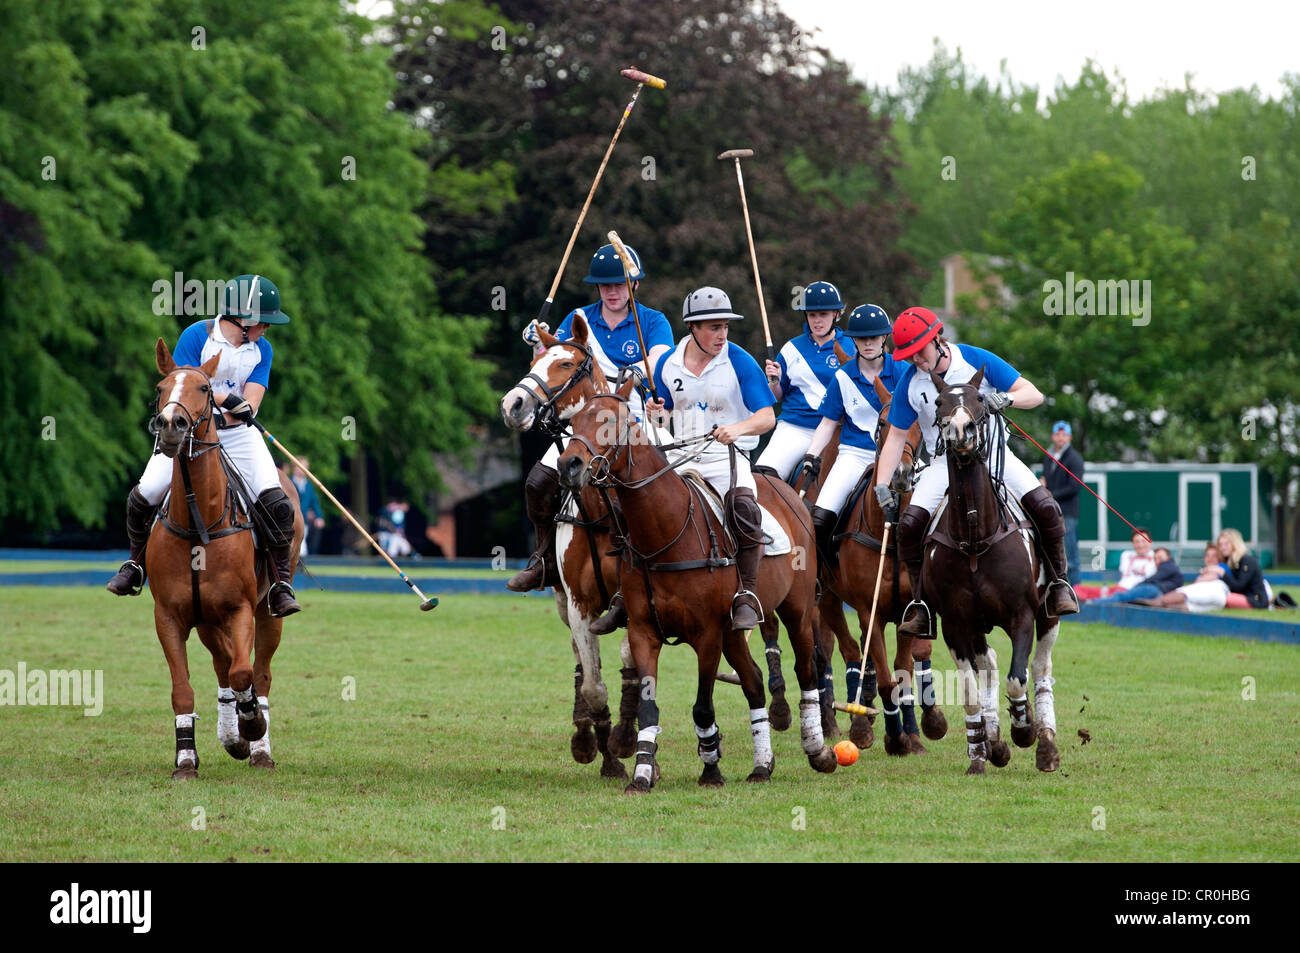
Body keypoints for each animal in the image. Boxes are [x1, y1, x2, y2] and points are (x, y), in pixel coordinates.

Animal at [146, 338, 302, 774]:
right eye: (161, 388)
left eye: (204, 388)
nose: (171, 426)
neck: (200, 517)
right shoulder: (169, 614)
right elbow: (183, 689)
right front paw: (186, 759)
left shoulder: (240, 609)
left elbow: (245, 672)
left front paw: (253, 728)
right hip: (207, 620)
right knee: (222, 667)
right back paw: (232, 736)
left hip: (267, 610)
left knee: (258, 673)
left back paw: (259, 747)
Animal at [496, 315, 639, 774]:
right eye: (535, 360)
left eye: (564, 364)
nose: (512, 405)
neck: (600, 509)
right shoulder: (578, 602)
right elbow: (593, 684)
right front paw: (605, 753)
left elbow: (632, 665)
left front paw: (626, 738)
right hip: (560, 598)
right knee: (581, 661)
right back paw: (584, 734)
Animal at [556, 374, 837, 790]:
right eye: (574, 423)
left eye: (612, 423)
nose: (569, 464)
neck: (666, 532)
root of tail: (788, 491)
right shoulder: (643, 632)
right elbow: (649, 707)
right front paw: (642, 773)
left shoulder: (706, 634)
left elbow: (703, 707)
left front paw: (711, 769)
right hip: (735, 630)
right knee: (753, 681)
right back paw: (762, 764)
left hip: (797, 609)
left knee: (806, 670)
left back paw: (818, 750)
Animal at [925, 369, 1055, 774]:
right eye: (938, 402)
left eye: (980, 400)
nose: (961, 430)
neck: (975, 537)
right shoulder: (955, 624)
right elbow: (970, 690)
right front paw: (979, 754)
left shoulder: (1022, 614)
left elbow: (1018, 679)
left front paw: (1024, 729)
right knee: (989, 664)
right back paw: (991, 743)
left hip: (1049, 614)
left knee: (1041, 669)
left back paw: (1046, 745)